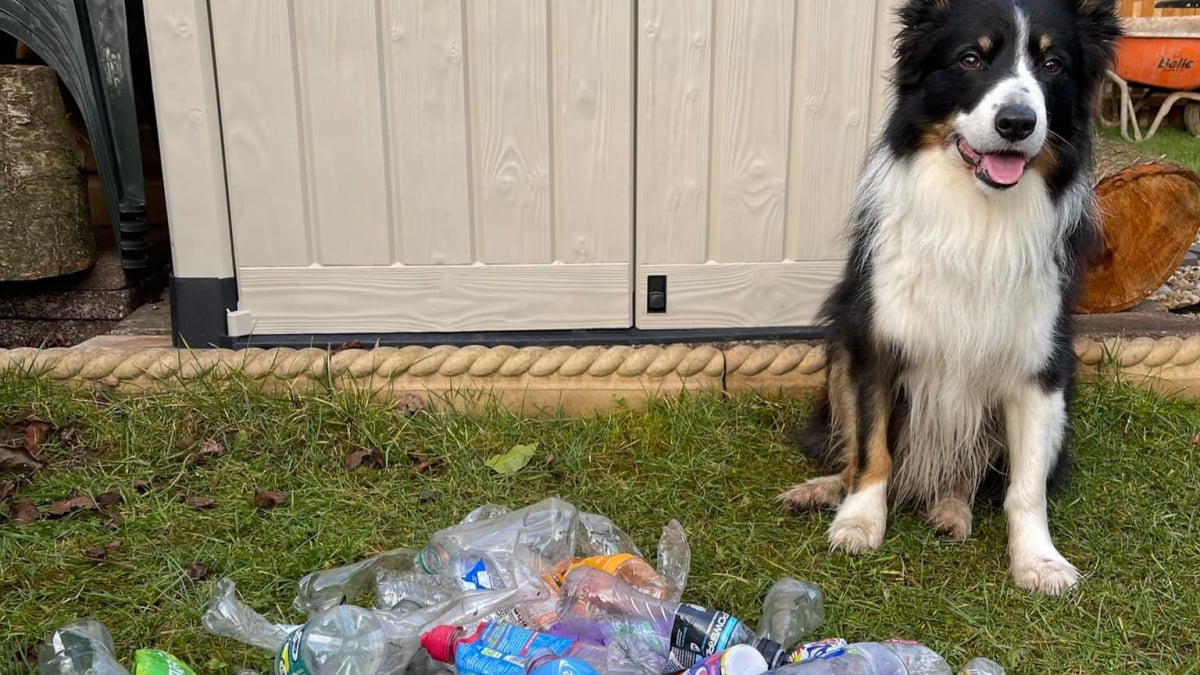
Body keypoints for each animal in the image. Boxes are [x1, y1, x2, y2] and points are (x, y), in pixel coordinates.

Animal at [782, 0, 1118, 590]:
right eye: (970, 58)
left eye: (1052, 64)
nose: (1017, 123)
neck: (978, 214)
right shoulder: (875, 343)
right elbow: (872, 448)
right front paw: (859, 521)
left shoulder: (1041, 370)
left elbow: (1026, 487)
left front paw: (1038, 559)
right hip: (839, 355)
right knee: (850, 451)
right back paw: (822, 490)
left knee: (969, 473)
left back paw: (950, 510)